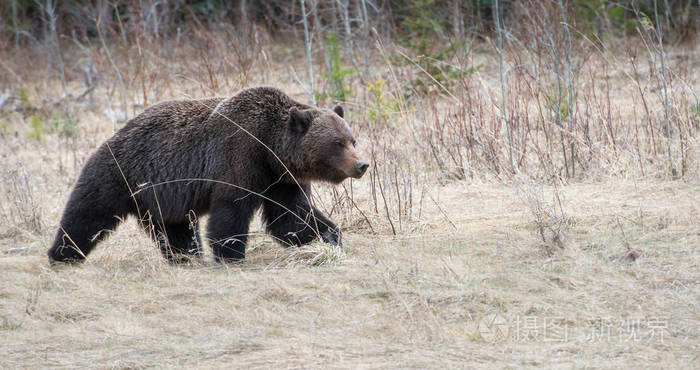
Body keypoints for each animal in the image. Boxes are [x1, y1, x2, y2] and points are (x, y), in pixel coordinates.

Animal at [47, 86, 366, 266]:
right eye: (337, 143)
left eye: (352, 139)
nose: (362, 164)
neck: (270, 149)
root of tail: (110, 137)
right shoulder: (240, 157)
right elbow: (231, 209)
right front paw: (230, 254)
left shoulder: (280, 179)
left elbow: (291, 216)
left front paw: (330, 236)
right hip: (118, 175)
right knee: (87, 214)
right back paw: (62, 253)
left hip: (160, 197)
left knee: (175, 230)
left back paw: (186, 257)